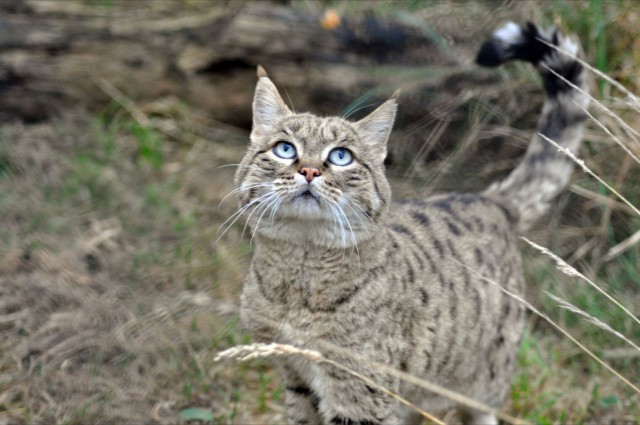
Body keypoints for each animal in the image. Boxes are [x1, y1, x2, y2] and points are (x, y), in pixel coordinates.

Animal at [231, 21, 592, 422]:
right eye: (285, 149)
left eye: (341, 156)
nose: (309, 170)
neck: (300, 274)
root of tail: (490, 199)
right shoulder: (296, 374)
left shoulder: (361, 390)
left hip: (486, 380)